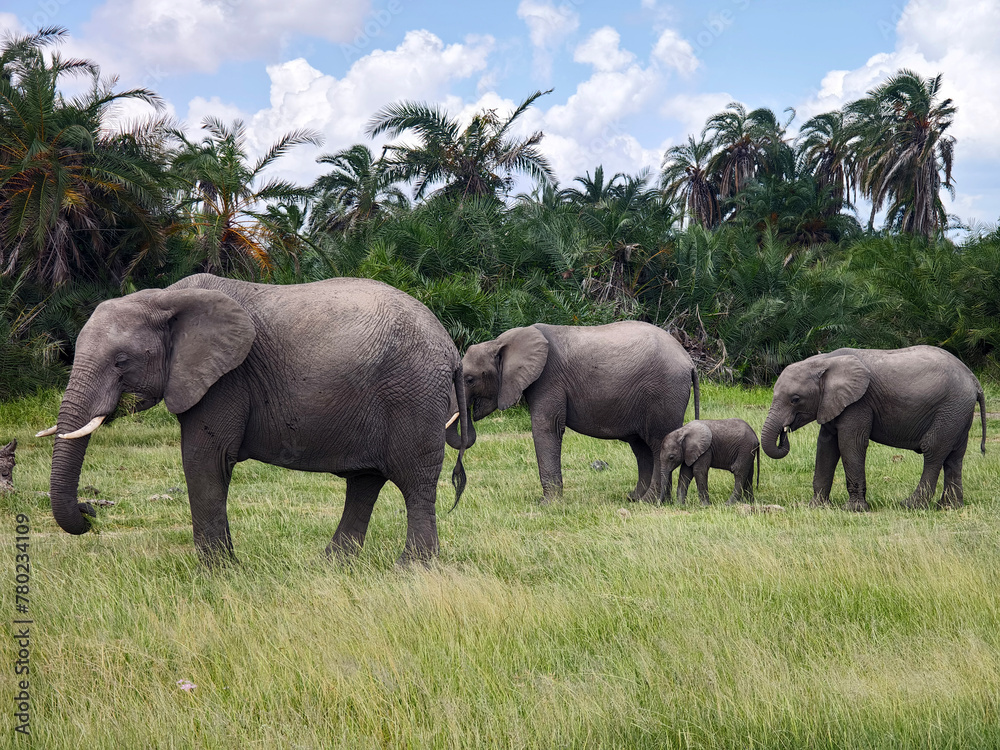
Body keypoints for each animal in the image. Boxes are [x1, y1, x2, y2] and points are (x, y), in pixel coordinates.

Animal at [39, 273, 471, 564]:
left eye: (121, 361)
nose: (90, 511)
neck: (165, 298)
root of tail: (451, 347)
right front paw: (226, 567)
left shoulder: (227, 379)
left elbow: (205, 459)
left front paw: (218, 573)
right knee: (365, 482)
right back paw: (333, 565)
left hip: (414, 393)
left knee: (414, 481)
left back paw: (411, 568)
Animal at [457, 322, 700, 502]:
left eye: (469, 379)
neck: (500, 342)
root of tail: (689, 361)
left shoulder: (549, 379)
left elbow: (548, 427)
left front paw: (548, 505)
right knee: (641, 448)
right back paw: (637, 498)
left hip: (663, 393)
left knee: (658, 445)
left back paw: (649, 501)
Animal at [761, 346, 986, 511]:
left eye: (795, 399)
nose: (784, 432)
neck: (824, 361)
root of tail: (974, 380)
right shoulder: (831, 403)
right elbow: (826, 446)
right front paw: (816, 507)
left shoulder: (858, 403)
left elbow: (850, 443)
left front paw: (854, 510)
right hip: (958, 413)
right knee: (954, 457)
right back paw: (949, 507)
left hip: (951, 408)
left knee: (933, 450)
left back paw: (911, 505)